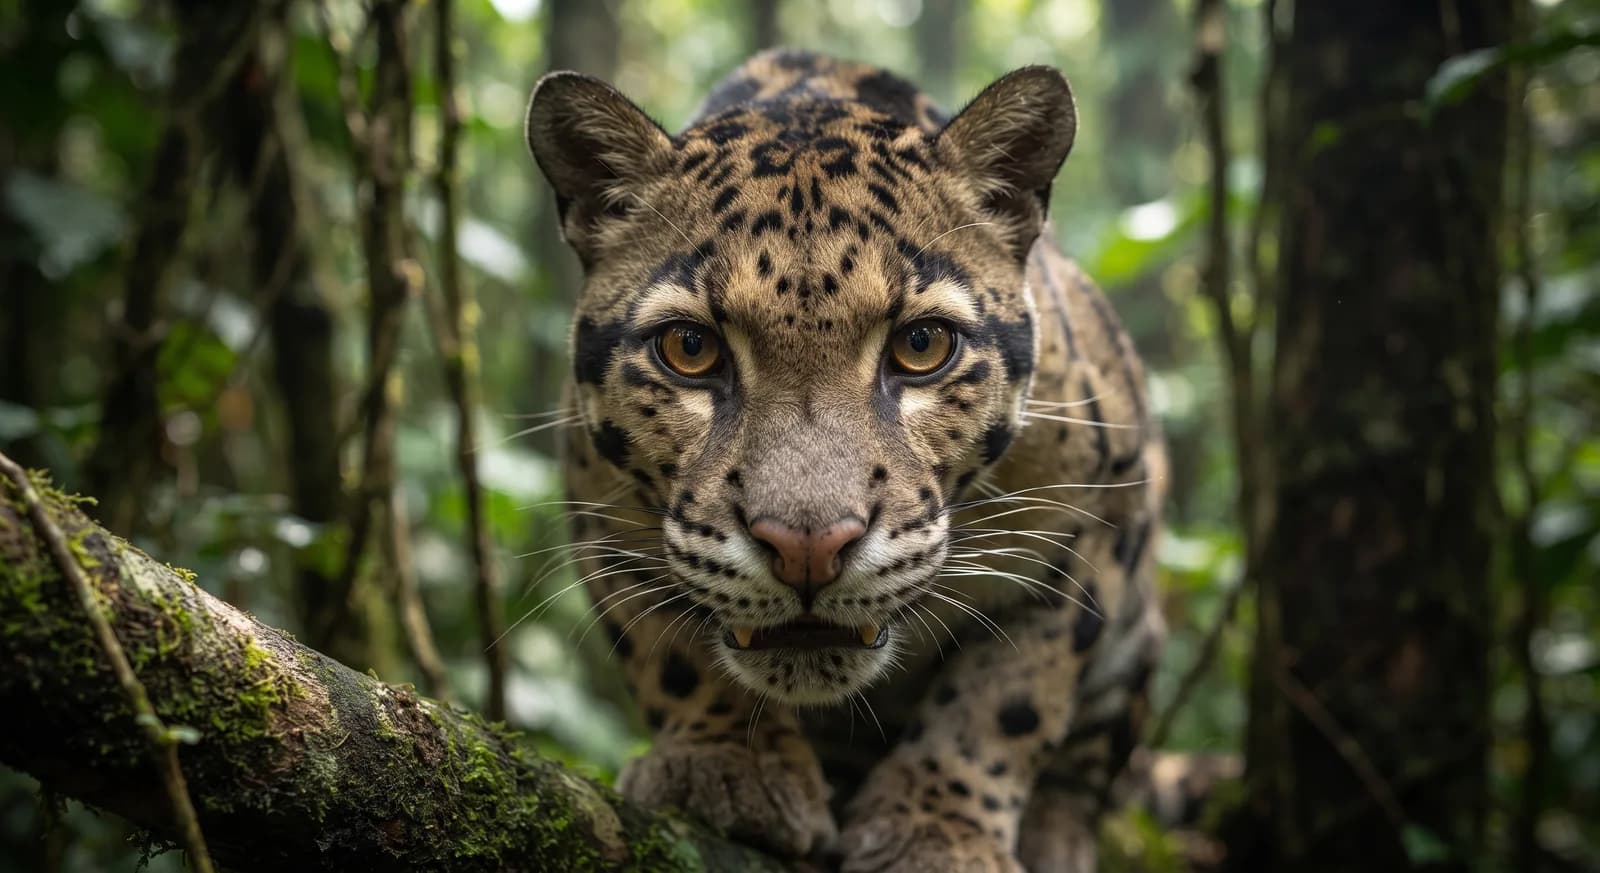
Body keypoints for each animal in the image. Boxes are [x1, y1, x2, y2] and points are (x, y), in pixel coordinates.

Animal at [525, 49, 1165, 872]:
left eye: (922, 345)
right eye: (690, 348)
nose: (808, 548)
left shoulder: (1098, 514)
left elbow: (1011, 695)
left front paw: (937, 826)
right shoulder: (604, 519)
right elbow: (669, 651)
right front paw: (727, 765)